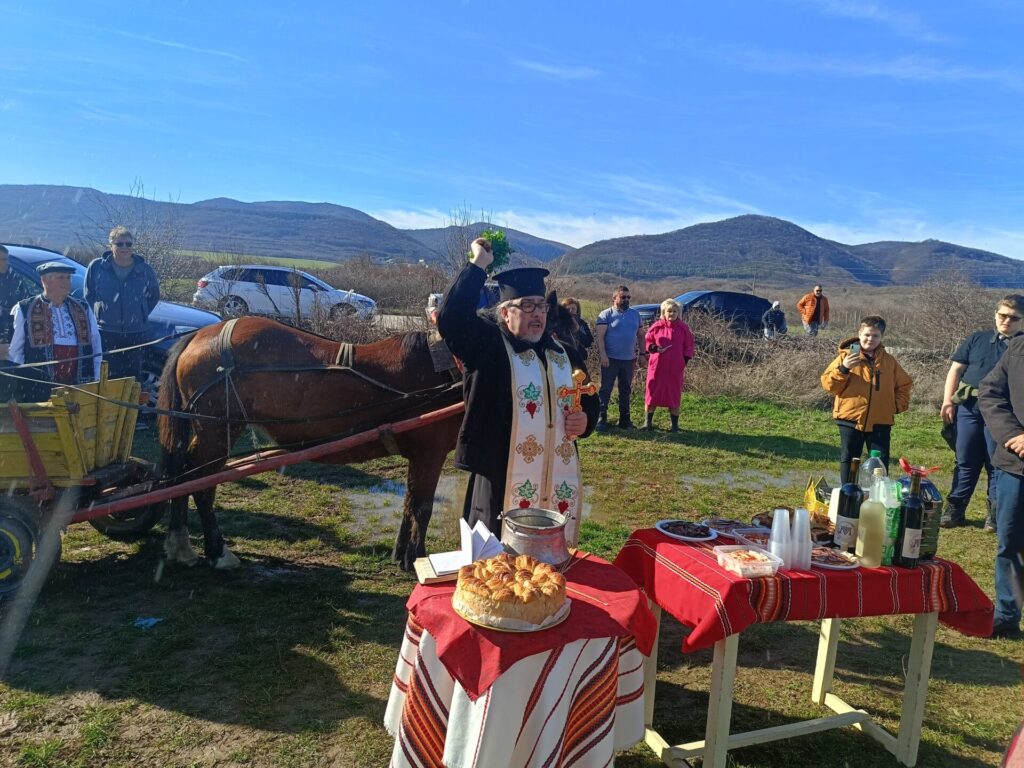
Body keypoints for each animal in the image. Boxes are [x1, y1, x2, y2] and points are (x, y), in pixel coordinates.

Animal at [156, 317, 462, 572]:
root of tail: (198, 336)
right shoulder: (429, 453)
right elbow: (422, 507)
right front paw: (417, 559)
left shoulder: (420, 456)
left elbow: (410, 503)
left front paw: (400, 555)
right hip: (218, 431)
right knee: (200, 483)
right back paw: (217, 552)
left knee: (184, 474)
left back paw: (181, 546)